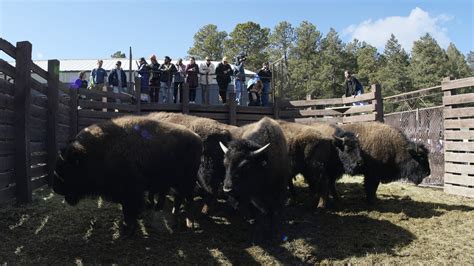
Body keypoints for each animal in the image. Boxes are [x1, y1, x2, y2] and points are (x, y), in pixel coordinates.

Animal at [52, 115, 203, 234]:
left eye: (67, 167)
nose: (55, 188)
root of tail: (197, 138)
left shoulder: (130, 192)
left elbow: (130, 209)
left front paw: (129, 228)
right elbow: (127, 209)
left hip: (186, 181)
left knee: (189, 200)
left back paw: (191, 224)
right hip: (176, 182)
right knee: (179, 197)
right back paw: (174, 215)